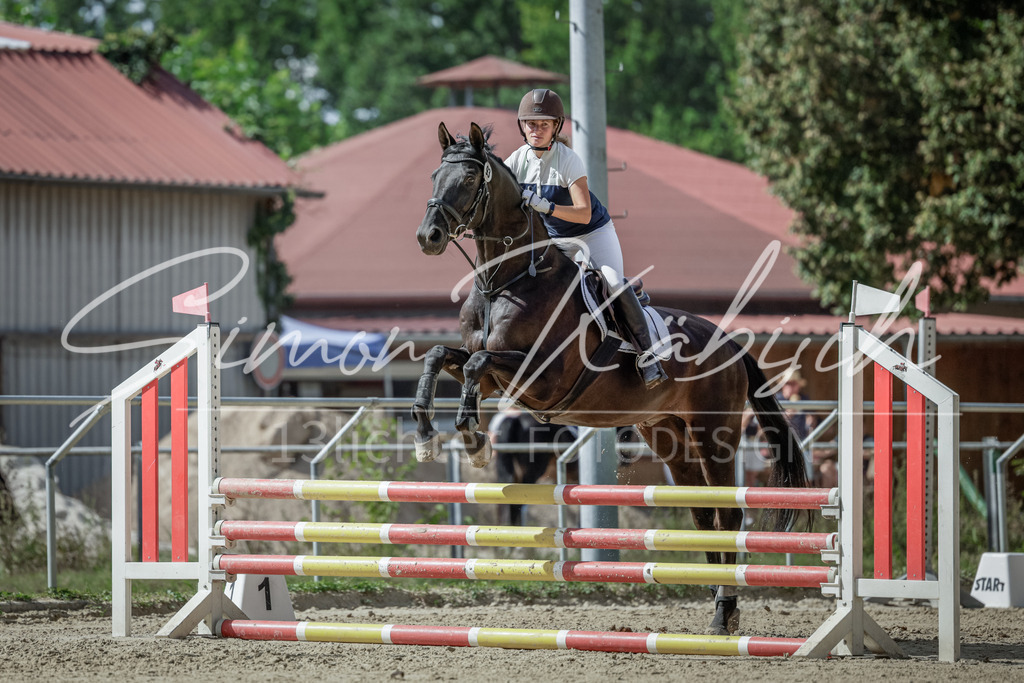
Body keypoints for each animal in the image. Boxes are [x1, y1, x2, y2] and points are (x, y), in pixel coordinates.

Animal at [411, 121, 807, 636]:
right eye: (435, 175)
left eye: (468, 179)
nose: (428, 236)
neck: (506, 281)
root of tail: (732, 344)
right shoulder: (498, 375)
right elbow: (441, 355)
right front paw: (426, 434)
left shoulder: (541, 377)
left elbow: (477, 365)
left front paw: (474, 441)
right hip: (668, 435)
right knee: (703, 512)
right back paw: (719, 604)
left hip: (714, 433)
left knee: (727, 511)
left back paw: (725, 612)